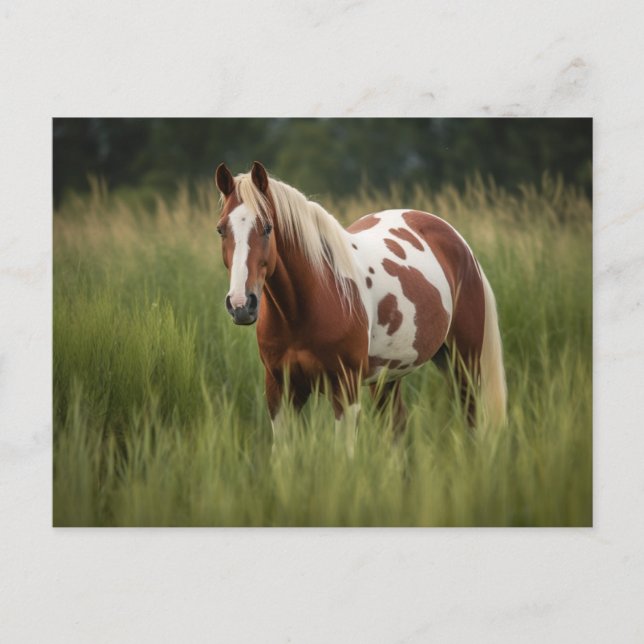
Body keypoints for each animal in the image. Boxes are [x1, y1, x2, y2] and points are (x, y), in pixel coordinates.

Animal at [214, 161, 507, 455]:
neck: (304, 309)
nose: (241, 304)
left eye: (267, 227)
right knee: (397, 427)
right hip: (389, 376)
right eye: (220, 230)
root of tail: (460, 243)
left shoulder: (345, 389)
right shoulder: (280, 391)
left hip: (465, 363)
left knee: (471, 421)